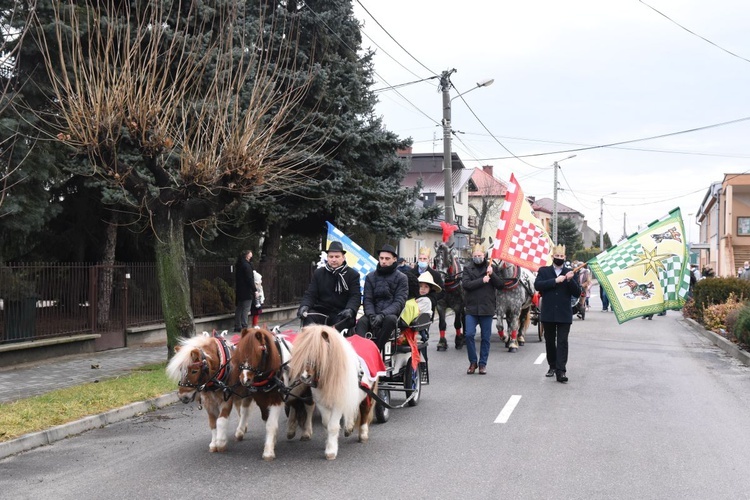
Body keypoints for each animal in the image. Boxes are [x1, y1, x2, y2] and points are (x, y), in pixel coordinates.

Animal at [231, 328, 310, 460]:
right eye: (240, 351)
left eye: (257, 352)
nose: (244, 379)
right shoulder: (261, 400)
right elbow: (266, 420)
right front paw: (273, 441)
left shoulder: (276, 399)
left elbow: (271, 424)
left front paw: (268, 451)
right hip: (291, 391)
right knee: (294, 405)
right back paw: (291, 430)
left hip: (305, 387)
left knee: (309, 406)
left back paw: (307, 432)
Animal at [290, 324, 382, 460]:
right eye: (301, 352)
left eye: (319, 353)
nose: (304, 377)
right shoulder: (322, 403)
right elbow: (326, 424)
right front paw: (329, 443)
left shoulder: (338, 403)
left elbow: (333, 426)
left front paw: (331, 452)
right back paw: (349, 428)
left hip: (368, 392)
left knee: (365, 409)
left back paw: (363, 435)